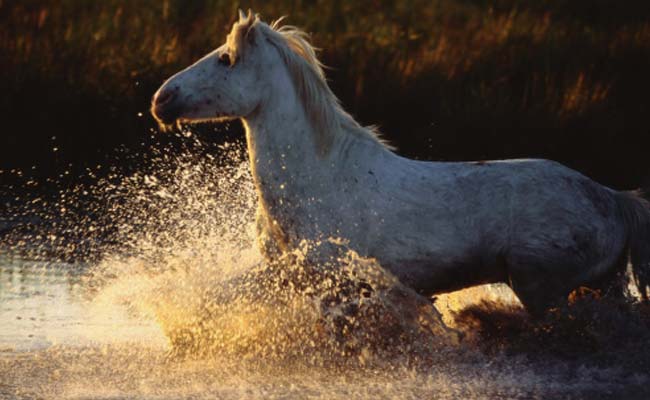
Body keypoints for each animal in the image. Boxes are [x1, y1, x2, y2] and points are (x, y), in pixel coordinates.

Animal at [153, 11, 648, 316]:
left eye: (226, 59)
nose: (162, 99)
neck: (322, 179)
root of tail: (613, 196)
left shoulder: (336, 285)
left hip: (542, 289)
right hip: (594, 288)